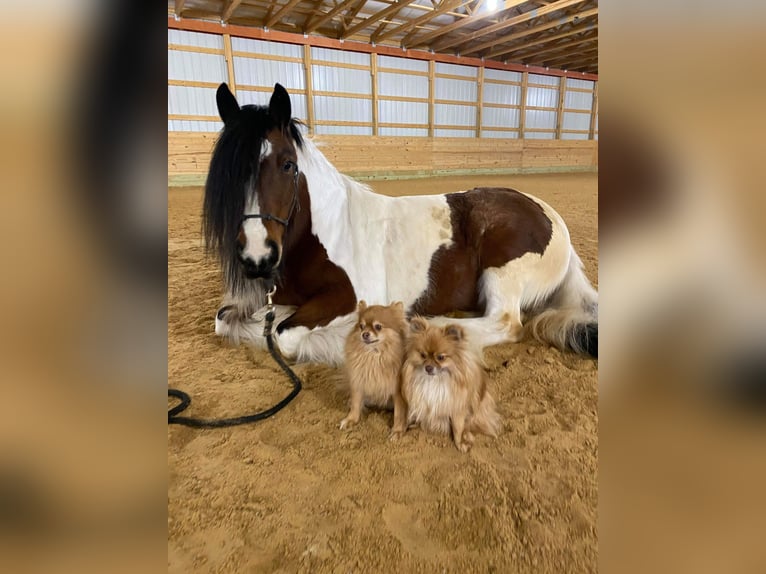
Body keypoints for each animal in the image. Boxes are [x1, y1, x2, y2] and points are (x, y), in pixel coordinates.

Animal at [206, 83, 600, 366]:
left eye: (288, 164)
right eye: (227, 173)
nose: (257, 258)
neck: (322, 236)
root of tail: (552, 219)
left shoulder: (347, 297)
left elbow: (284, 335)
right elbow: (226, 318)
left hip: (501, 272)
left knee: (504, 322)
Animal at [340, 302, 412, 432]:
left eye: (378, 327)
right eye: (361, 326)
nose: (365, 334)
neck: (374, 355)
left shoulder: (397, 391)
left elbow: (399, 413)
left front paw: (397, 430)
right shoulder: (358, 383)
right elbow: (355, 404)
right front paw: (351, 420)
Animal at [402, 316, 504, 454]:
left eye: (441, 357)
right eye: (422, 355)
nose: (428, 368)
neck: (436, 380)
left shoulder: (457, 409)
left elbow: (458, 429)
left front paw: (460, 443)